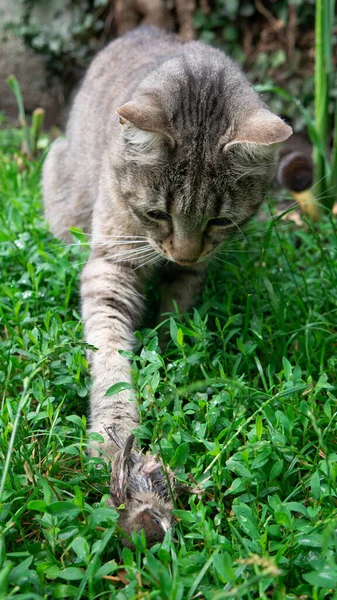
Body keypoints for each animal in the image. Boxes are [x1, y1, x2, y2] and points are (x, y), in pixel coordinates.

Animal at [43, 25, 292, 458]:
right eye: (157, 214)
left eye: (220, 221)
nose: (183, 254)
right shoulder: (111, 264)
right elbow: (109, 351)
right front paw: (114, 429)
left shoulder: (194, 271)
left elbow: (175, 314)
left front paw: (167, 349)